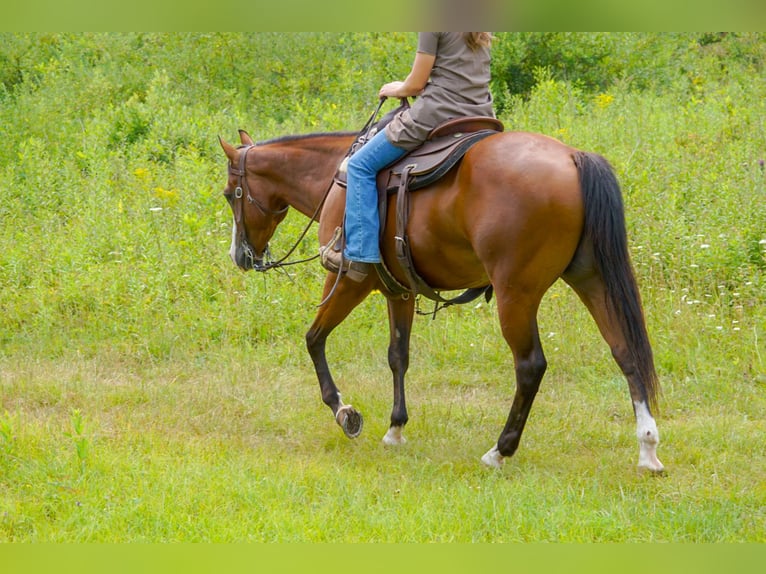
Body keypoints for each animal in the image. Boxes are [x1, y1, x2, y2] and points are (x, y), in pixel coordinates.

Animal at [218, 123, 665, 472]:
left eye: (229, 192)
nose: (240, 256)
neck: (334, 177)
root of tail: (573, 158)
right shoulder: (398, 291)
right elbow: (398, 355)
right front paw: (396, 428)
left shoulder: (348, 280)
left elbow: (314, 339)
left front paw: (345, 413)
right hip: (591, 279)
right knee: (626, 351)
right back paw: (647, 447)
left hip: (516, 295)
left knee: (530, 366)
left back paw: (500, 451)